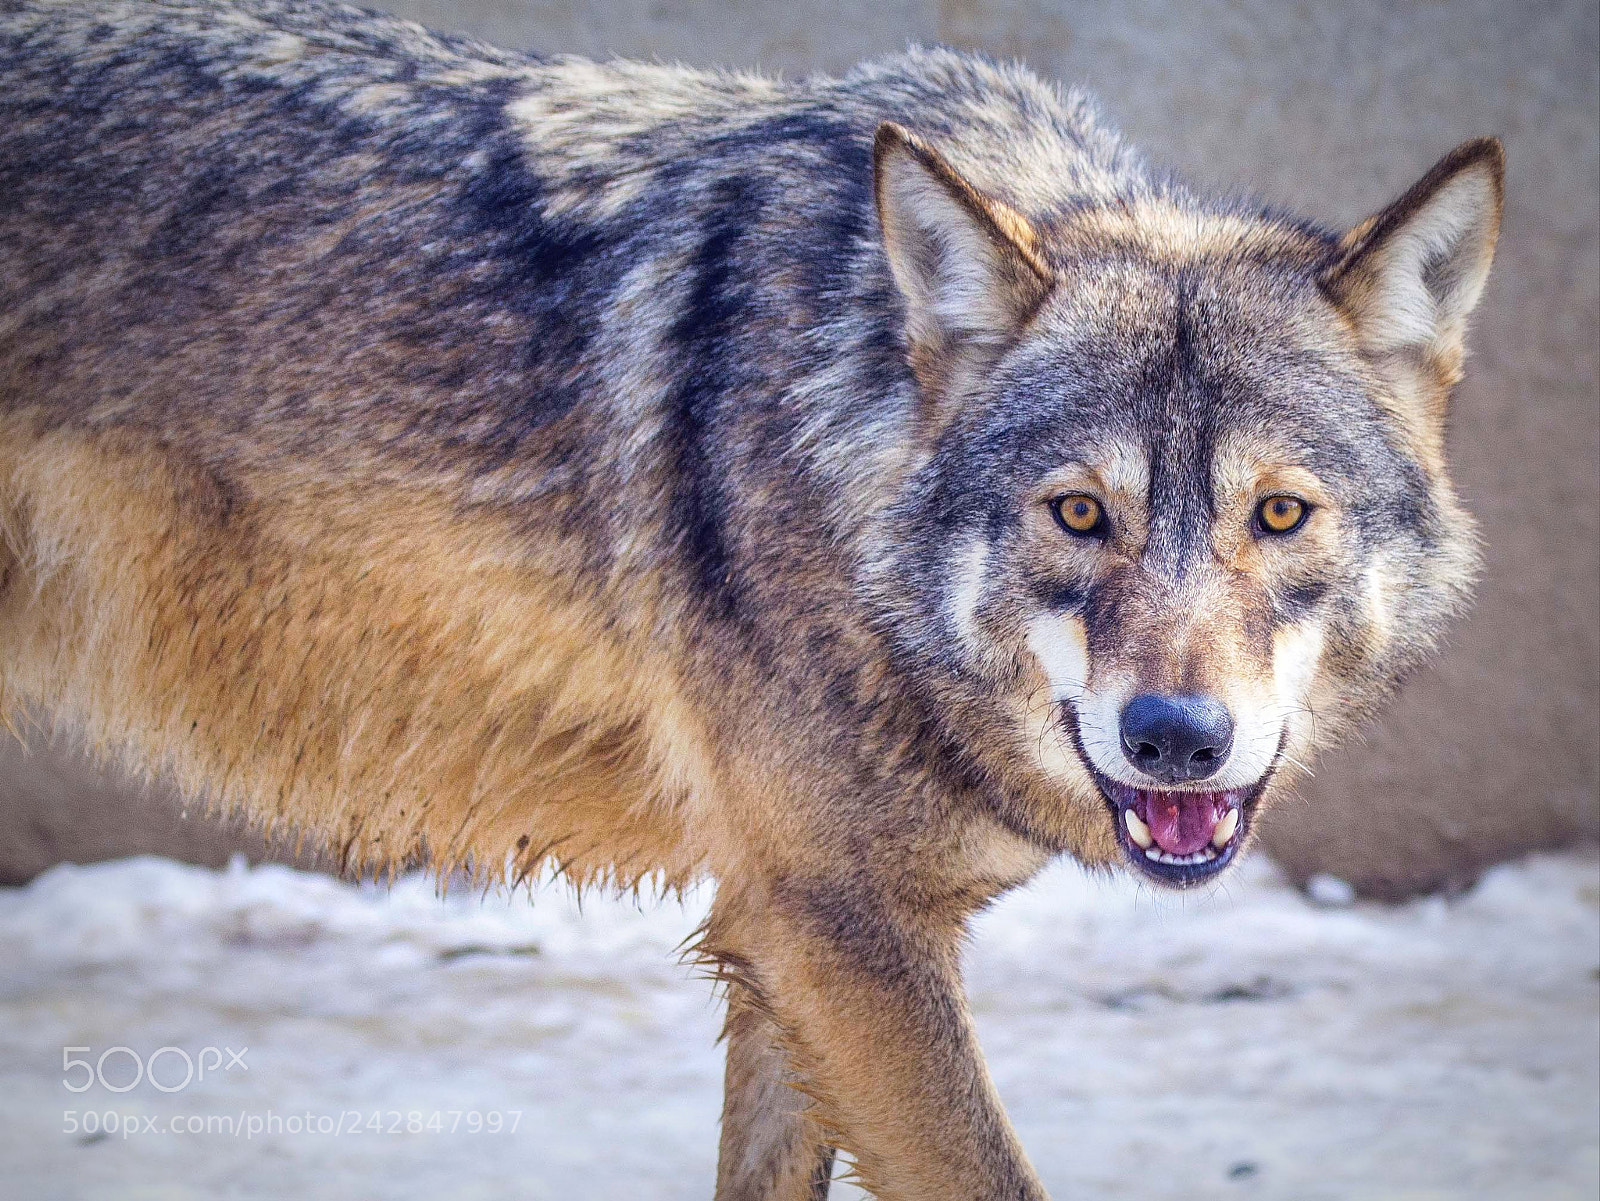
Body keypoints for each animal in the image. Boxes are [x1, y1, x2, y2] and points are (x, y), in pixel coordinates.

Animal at [0, 1, 1501, 1196]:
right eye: (1079, 513)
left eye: (1279, 514)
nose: (1176, 739)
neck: (847, 450)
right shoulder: (842, 937)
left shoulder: (790, 940)